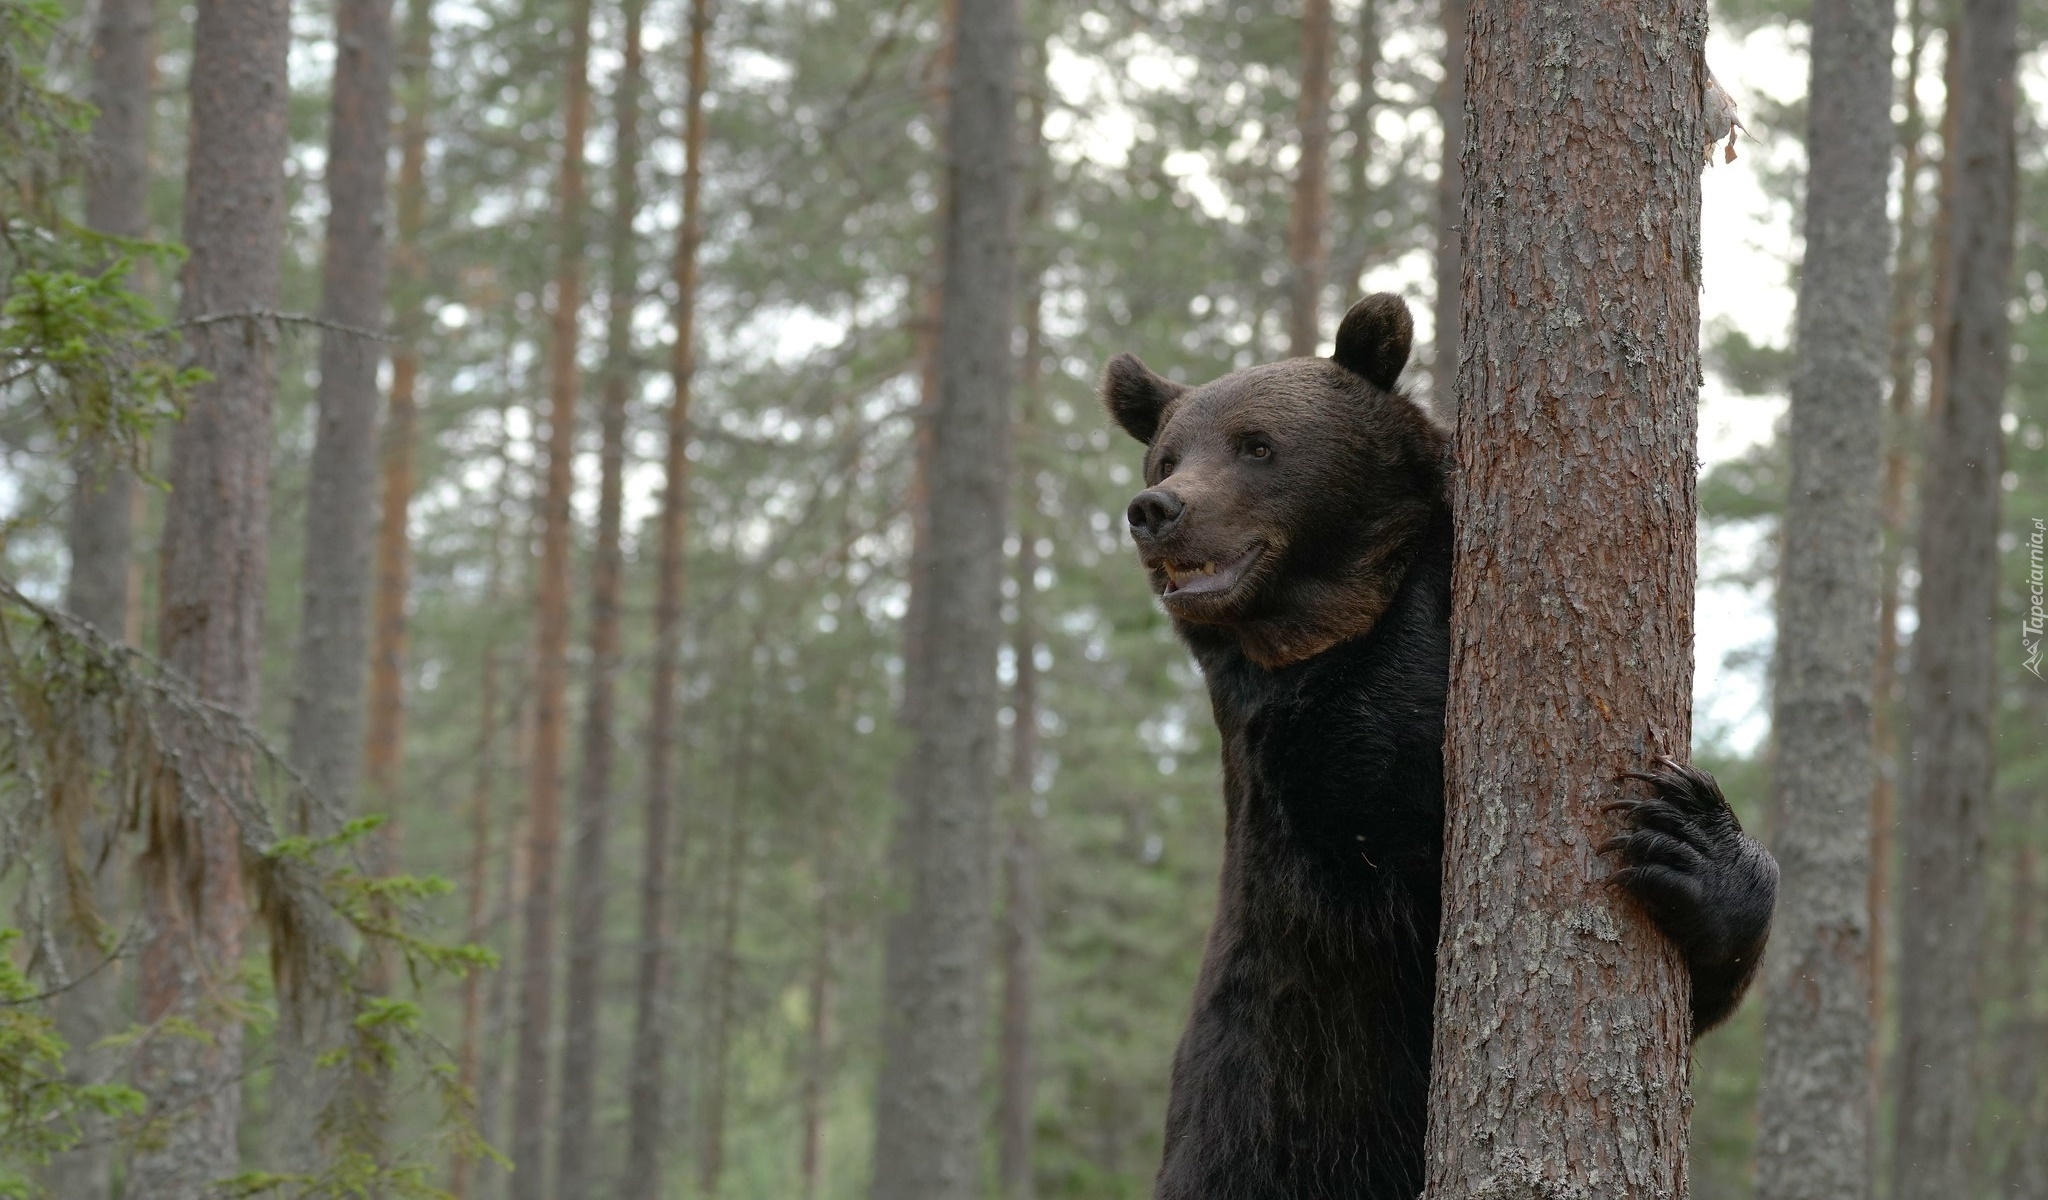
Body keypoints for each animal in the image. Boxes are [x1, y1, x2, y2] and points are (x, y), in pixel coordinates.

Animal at [1105, 292, 1777, 1195]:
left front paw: (1688, 838)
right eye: (1168, 455)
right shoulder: (1325, 788)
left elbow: (1710, 973)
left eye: (1256, 444)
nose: (1158, 508)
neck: (1315, 630)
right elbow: (1401, 783)